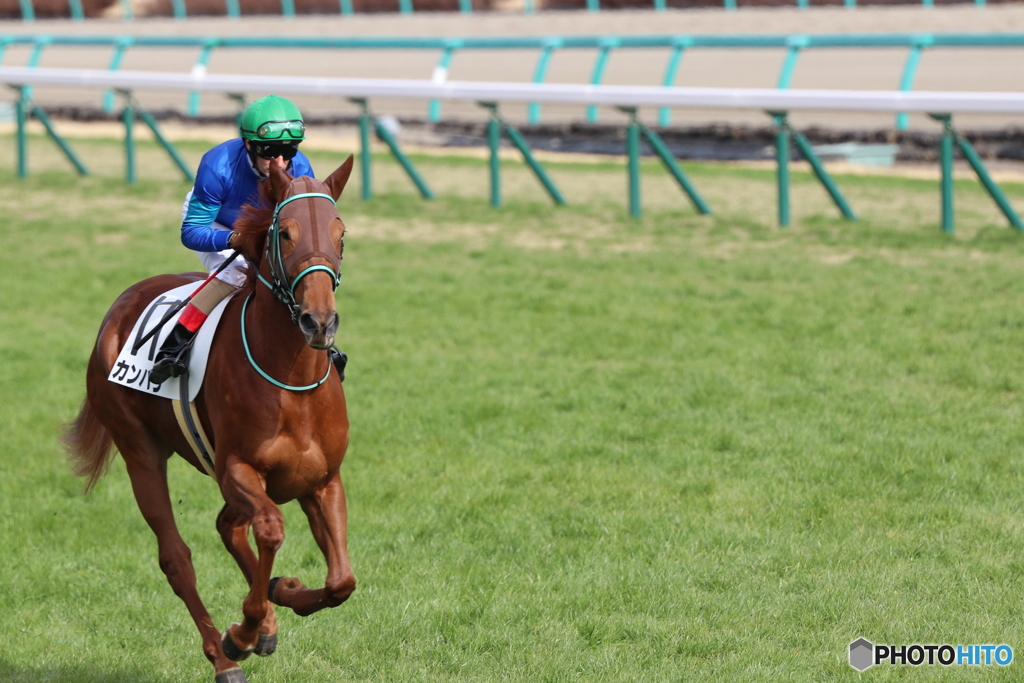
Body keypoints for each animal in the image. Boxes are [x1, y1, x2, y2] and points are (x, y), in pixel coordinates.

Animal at [64, 156, 358, 683]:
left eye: (340, 234)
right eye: (284, 233)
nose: (319, 321)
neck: (291, 380)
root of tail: (122, 302)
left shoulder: (322, 480)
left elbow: (342, 580)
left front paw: (281, 598)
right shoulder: (237, 469)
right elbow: (271, 530)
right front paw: (242, 631)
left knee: (229, 527)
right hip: (140, 451)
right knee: (177, 557)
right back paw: (226, 656)